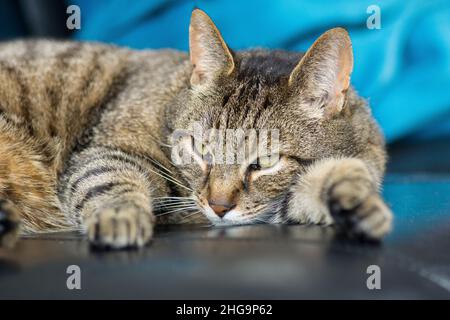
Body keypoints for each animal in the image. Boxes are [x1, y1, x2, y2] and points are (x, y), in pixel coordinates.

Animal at [0, 8, 392, 249]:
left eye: (266, 162)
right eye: (201, 149)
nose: (218, 206)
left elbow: (314, 189)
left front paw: (354, 198)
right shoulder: (106, 150)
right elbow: (107, 179)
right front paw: (120, 215)